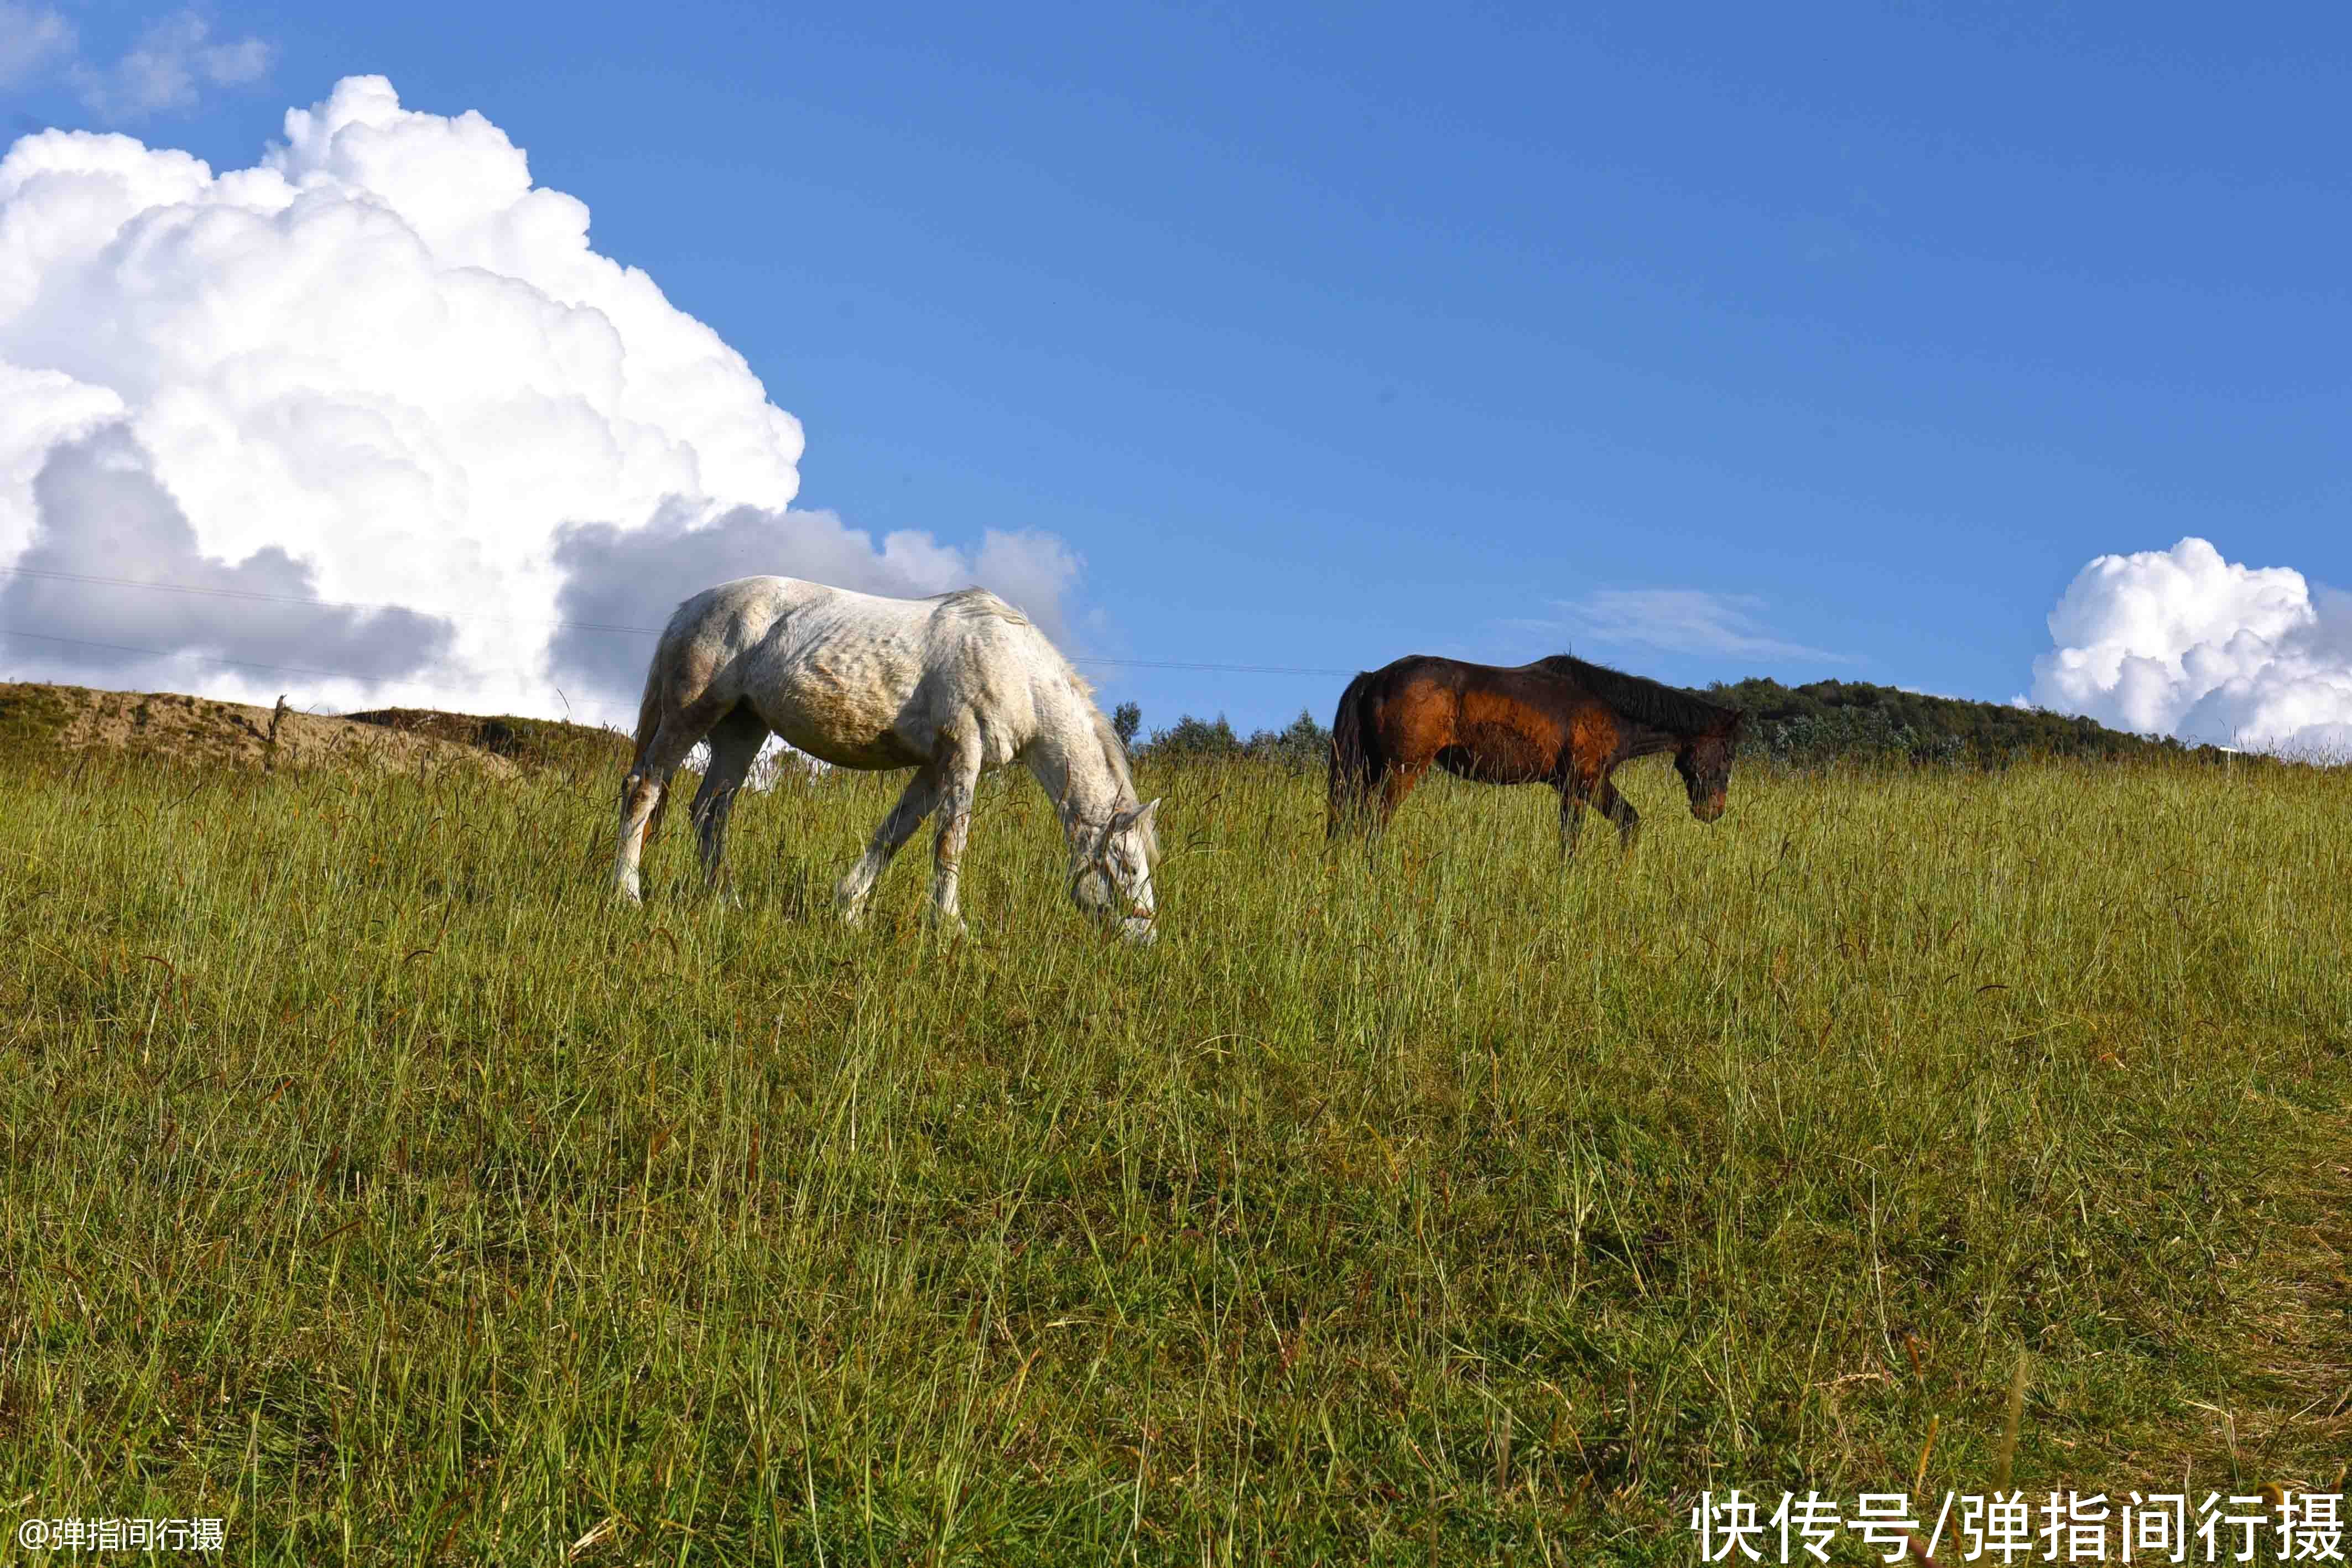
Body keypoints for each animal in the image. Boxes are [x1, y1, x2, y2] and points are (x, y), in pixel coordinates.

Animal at [607, 580, 1157, 940]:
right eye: (1127, 866)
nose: (1145, 937)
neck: (1016, 669)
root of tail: (689, 609)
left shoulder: (935, 766)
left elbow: (894, 834)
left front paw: (850, 909)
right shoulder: (963, 753)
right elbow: (950, 842)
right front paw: (951, 927)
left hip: (742, 731)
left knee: (709, 811)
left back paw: (727, 900)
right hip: (689, 715)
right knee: (644, 789)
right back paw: (627, 894)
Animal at [1336, 653, 1740, 851]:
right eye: (1727, 754)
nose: (1714, 810)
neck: (1609, 708)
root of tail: (1374, 678)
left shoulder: (1576, 787)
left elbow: (1616, 825)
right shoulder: (1584, 784)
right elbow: (1584, 837)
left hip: (1370, 771)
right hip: (1401, 771)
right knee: (1375, 823)